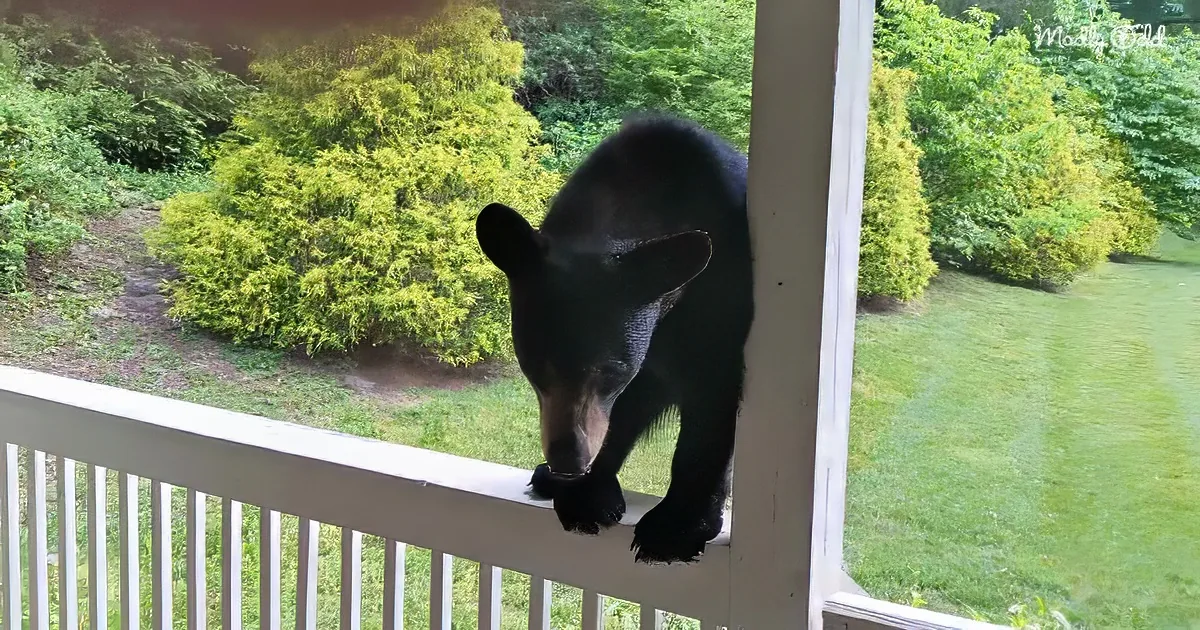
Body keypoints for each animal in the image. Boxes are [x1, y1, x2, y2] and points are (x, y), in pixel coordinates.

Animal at [474, 113, 753, 564]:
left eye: (612, 371)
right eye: (535, 366)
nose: (568, 461)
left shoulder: (721, 294)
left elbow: (711, 398)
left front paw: (676, 528)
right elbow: (616, 413)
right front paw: (585, 493)